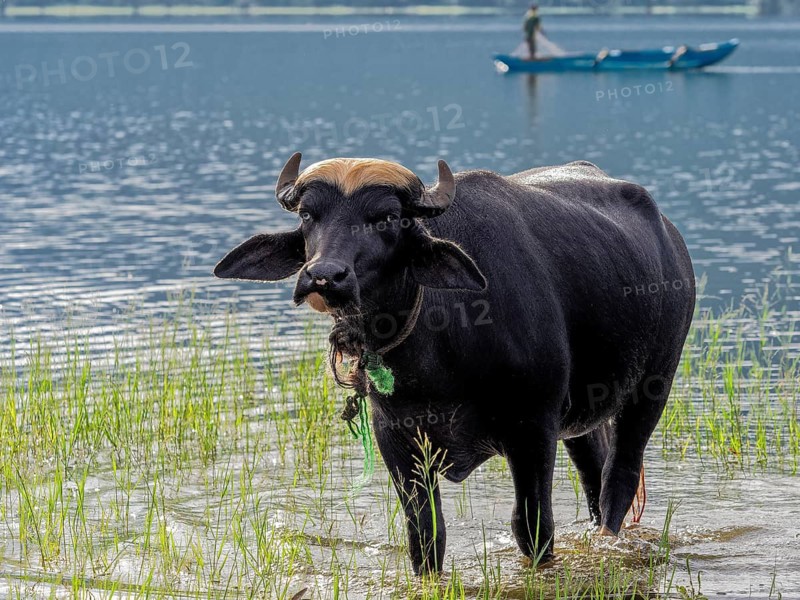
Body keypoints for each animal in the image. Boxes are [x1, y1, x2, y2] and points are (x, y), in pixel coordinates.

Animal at [214, 153, 695, 574]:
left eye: (386, 218)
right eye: (308, 216)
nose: (323, 276)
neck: (438, 353)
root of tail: (672, 241)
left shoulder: (533, 429)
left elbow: (533, 529)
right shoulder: (396, 437)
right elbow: (426, 535)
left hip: (653, 386)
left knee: (619, 476)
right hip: (581, 414)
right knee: (594, 470)